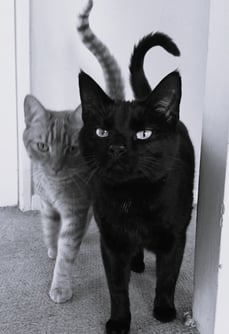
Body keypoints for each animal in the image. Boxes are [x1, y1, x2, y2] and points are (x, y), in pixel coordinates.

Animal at [22, 0, 124, 304]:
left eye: (71, 148)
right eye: (43, 146)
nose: (55, 167)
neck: (54, 186)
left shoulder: (75, 210)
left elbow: (66, 255)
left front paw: (60, 285)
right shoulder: (48, 206)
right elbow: (48, 229)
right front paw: (51, 247)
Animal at [78, 32, 194, 334]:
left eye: (144, 134)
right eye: (102, 132)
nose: (117, 148)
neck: (133, 196)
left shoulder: (176, 238)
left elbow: (167, 277)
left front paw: (164, 310)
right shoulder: (111, 241)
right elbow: (118, 288)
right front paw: (119, 322)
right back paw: (137, 262)